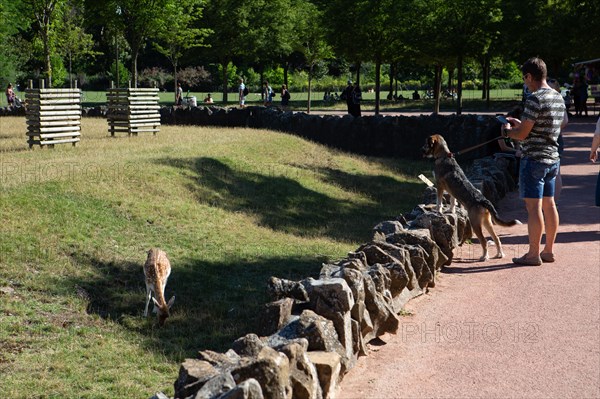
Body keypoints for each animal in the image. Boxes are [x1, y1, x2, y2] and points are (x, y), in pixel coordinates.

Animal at [422, 134, 520, 262]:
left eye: (426, 143)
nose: (421, 150)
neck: (444, 156)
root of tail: (484, 201)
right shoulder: (451, 190)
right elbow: (452, 201)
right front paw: (450, 210)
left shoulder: (439, 186)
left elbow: (439, 202)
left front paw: (438, 211)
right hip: (487, 222)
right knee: (497, 239)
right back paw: (499, 254)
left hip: (475, 224)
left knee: (484, 241)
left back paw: (484, 257)